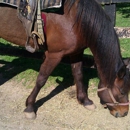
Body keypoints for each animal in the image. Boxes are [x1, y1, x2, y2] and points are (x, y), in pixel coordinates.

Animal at [0, 0, 130, 119]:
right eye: (122, 91)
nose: (124, 113)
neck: (74, 18)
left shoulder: (77, 52)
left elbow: (78, 75)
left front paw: (85, 101)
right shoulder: (54, 55)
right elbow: (41, 79)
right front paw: (30, 107)